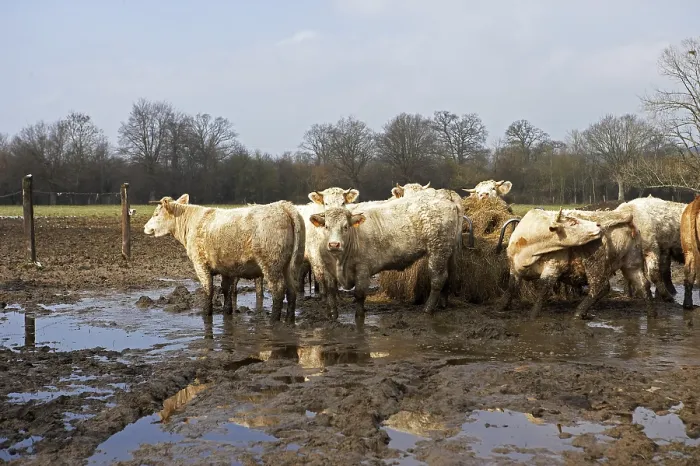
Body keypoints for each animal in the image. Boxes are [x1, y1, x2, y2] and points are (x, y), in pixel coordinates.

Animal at [143, 194, 305, 323]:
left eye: (156, 214)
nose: (145, 227)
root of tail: (283, 206)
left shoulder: (200, 264)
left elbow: (208, 290)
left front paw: (206, 313)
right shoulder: (227, 268)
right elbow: (226, 291)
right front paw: (227, 313)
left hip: (271, 264)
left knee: (278, 290)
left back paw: (273, 320)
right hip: (290, 265)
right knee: (292, 290)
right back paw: (289, 320)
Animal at [309, 195, 462, 325]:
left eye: (345, 227)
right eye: (326, 226)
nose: (334, 244)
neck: (340, 261)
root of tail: (447, 200)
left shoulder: (363, 269)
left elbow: (359, 294)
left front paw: (359, 316)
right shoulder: (327, 269)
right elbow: (330, 291)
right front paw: (332, 316)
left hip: (438, 250)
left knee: (437, 279)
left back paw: (428, 309)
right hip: (448, 251)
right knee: (448, 275)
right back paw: (443, 303)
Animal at [496, 207, 653, 319]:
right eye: (573, 222)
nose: (598, 225)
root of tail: (625, 218)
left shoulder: (553, 267)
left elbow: (543, 290)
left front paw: (532, 316)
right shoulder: (514, 269)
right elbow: (511, 287)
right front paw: (501, 307)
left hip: (595, 262)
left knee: (600, 287)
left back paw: (578, 313)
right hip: (632, 264)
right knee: (644, 285)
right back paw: (652, 314)